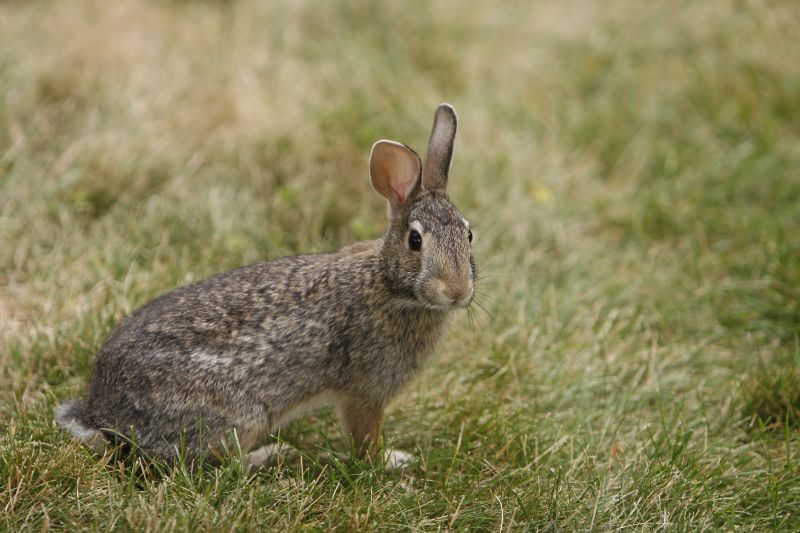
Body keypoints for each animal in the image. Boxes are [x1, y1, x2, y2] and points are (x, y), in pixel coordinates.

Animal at [55, 103, 475, 471]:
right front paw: (389, 462)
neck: (388, 284)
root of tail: (99, 413)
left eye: (469, 234)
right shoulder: (364, 392)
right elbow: (364, 440)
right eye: (415, 241)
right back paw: (271, 456)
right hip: (242, 416)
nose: (457, 292)